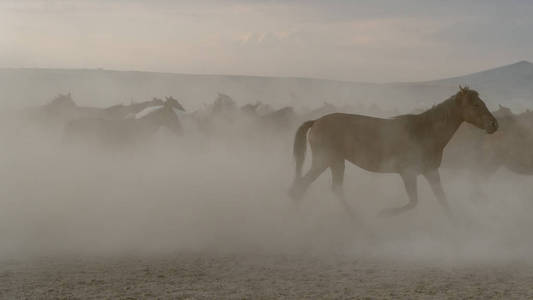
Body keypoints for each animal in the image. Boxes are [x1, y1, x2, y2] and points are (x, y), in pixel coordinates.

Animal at [288, 86, 496, 218]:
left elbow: (443, 200)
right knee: (302, 187)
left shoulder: (431, 172)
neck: (425, 132)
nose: (494, 124)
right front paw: (384, 214)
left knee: (329, 189)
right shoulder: (408, 173)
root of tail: (316, 122)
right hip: (325, 160)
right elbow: (413, 202)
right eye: (476, 105)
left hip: (335, 162)